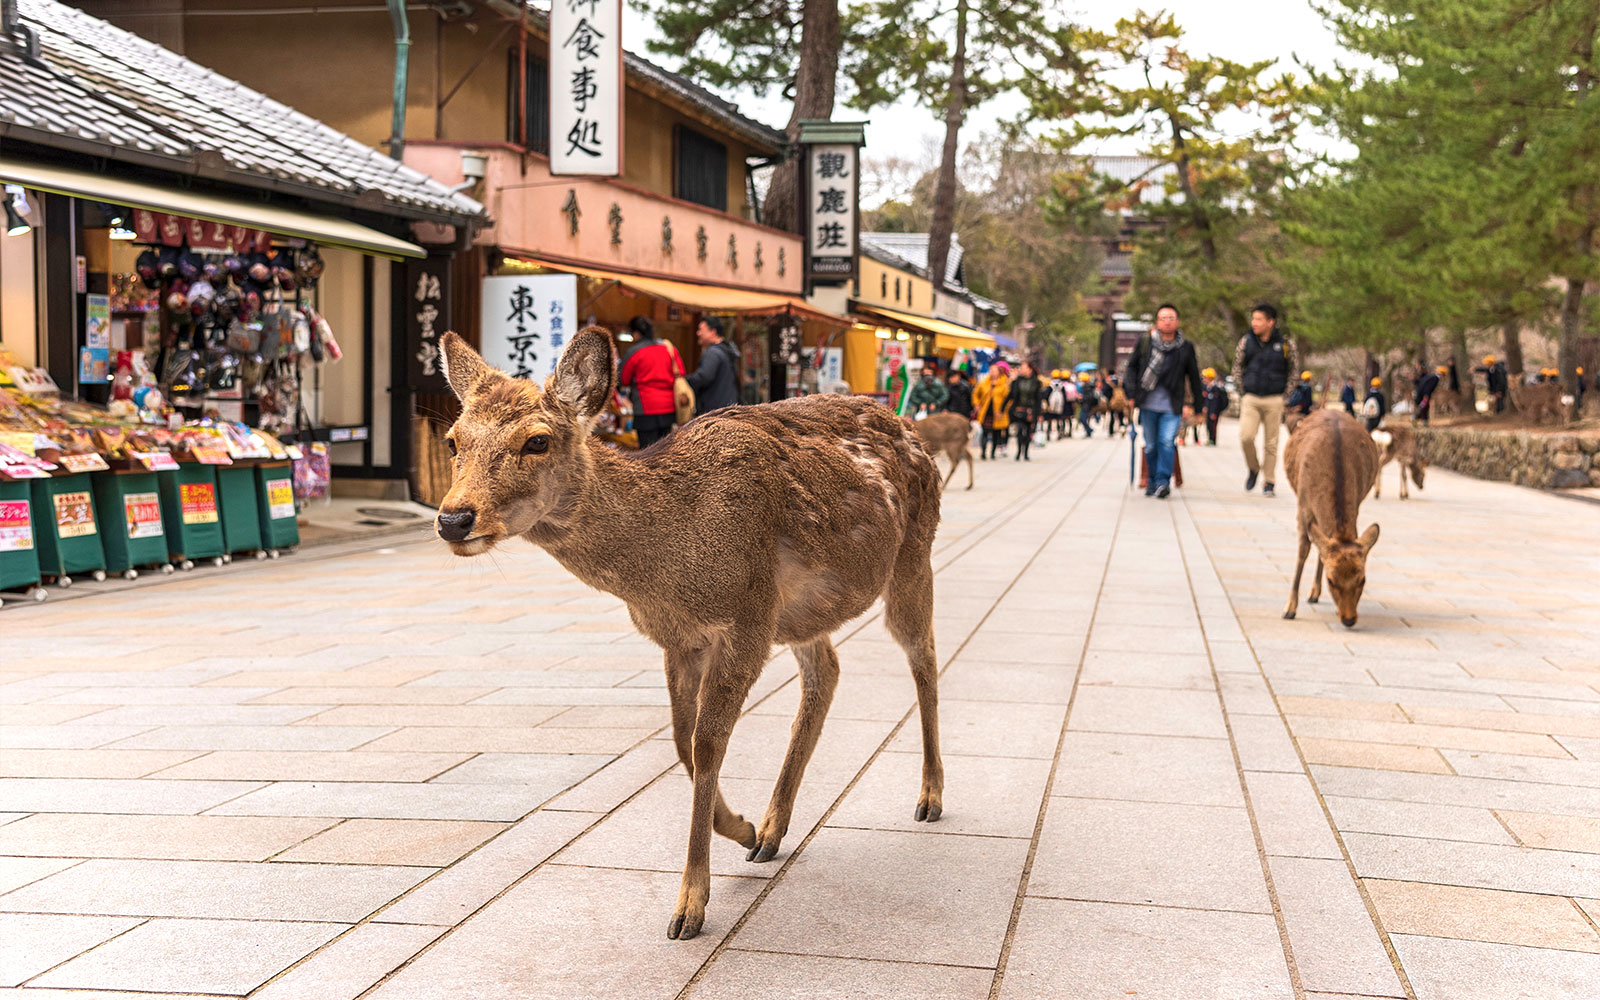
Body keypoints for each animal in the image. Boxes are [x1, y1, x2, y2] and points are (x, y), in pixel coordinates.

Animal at [432, 331, 940, 940]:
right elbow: (681, 742)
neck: (666, 570)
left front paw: (690, 906)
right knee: (828, 670)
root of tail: (914, 431)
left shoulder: (745, 618)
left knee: (923, 656)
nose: (454, 519)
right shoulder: (679, 637)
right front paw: (742, 827)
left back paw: (930, 796)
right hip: (801, 612)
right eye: (453, 439)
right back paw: (772, 830)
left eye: (537, 441)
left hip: (912, 555)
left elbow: (707, 742)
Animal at [1280, 406, 1382, 624]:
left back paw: (1314, 593)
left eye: (1363, 579)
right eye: (1331, 580)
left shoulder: (1357, 502)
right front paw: (1289, 609)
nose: (1349, 619)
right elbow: (1303, 550)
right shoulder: (1303, 507)